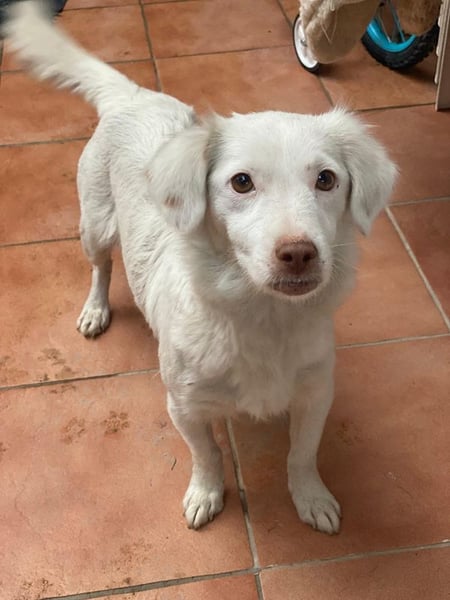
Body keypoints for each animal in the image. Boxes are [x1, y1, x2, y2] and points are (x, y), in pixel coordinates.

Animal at [3, 1, 396, 534]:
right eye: (242, 182)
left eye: (326, 179)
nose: (299, 252)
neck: (261, 317)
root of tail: (135, 97)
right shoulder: (184, 405)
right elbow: (207, 453)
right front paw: (206, 495)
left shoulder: (316, 393)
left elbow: (302, 454)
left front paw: (311, 497)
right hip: (95, 226)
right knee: (101, 269)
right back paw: (95, 310)